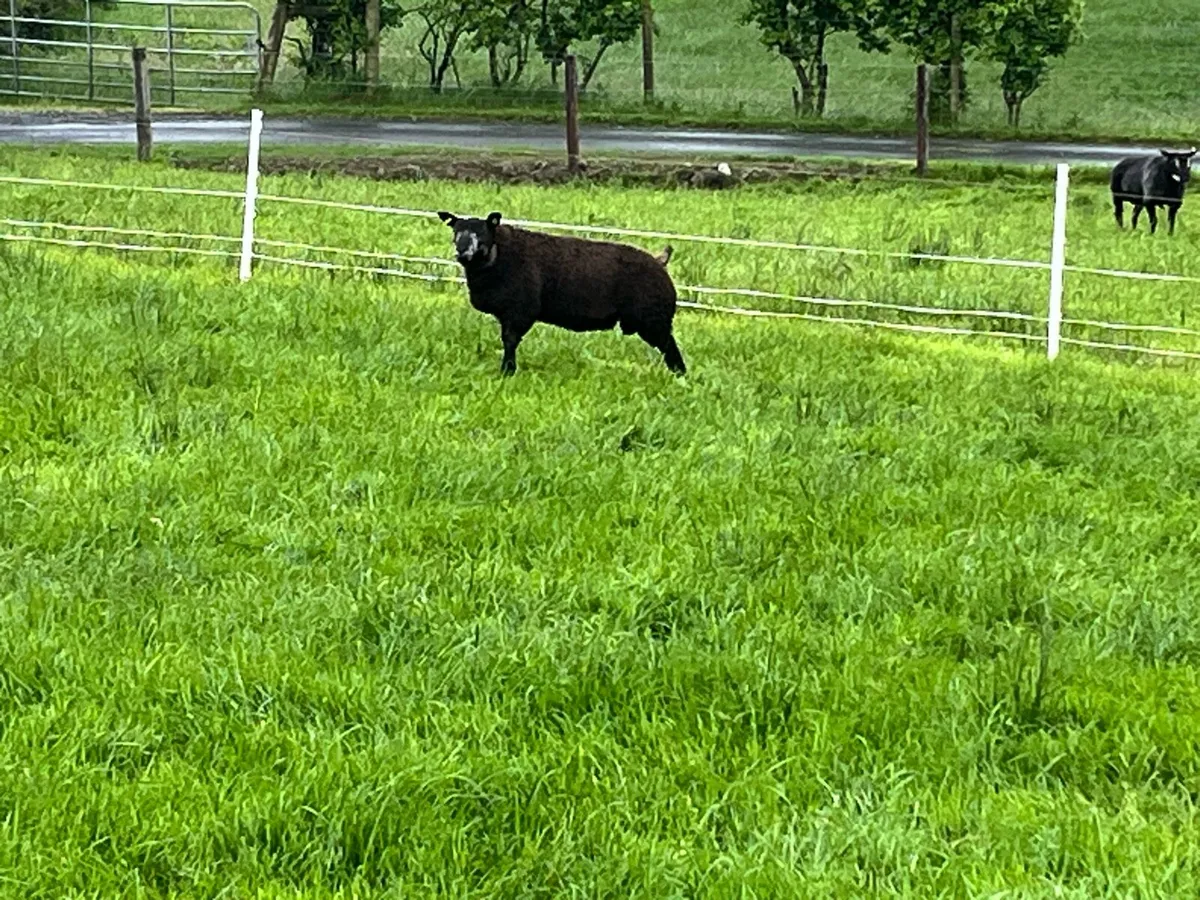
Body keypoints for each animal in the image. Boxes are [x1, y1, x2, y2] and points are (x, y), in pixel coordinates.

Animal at [437, 210, 687, 377]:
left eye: (482, 233)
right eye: (456, 232)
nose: (462, 253)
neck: (498, 256)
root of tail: (660, 262)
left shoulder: (520, 311)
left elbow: (510, 341)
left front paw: (507, 371)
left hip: (654, 319)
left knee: (670, 348)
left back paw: (680, 376)